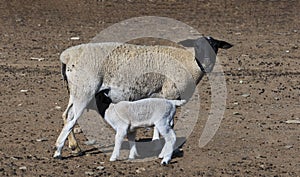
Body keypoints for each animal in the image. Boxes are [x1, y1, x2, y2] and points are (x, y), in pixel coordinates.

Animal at [53, 36, 232, 158]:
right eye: (197, 46)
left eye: (215, 46)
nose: (207, 63)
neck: (189, 63)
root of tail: (67, 56)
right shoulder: (170, 92)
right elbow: (169, 123)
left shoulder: (160, 95)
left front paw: (156, 142)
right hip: (85, 90)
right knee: (72, 119)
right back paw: (59, 150)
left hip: (75, 91)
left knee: (66, 115)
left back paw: (74, 147)